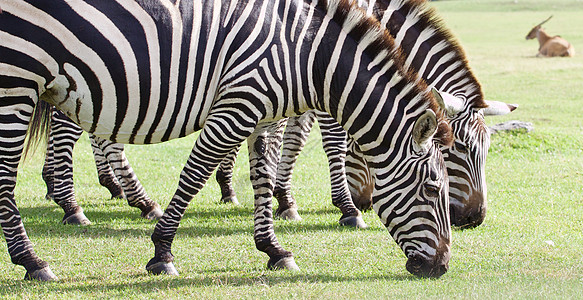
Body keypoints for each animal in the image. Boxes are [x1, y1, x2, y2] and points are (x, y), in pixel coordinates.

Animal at [0, 0, 456, 282]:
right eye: (433, 188)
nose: (441, 267)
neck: (306, 56)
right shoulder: (237, 104)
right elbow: (194, 175)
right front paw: (162, 253)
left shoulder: (260, 114)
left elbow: (263, 176)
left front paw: (273, 248)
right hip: (17, 81)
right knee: (9, 174)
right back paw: (34, 258)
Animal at [214, 0, 516, 229]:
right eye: (459, 148)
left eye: (487, 149)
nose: (474, 219)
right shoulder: (324, 86)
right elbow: (332, 144)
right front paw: (347, 209)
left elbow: (293, 141)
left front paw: (285, 200)